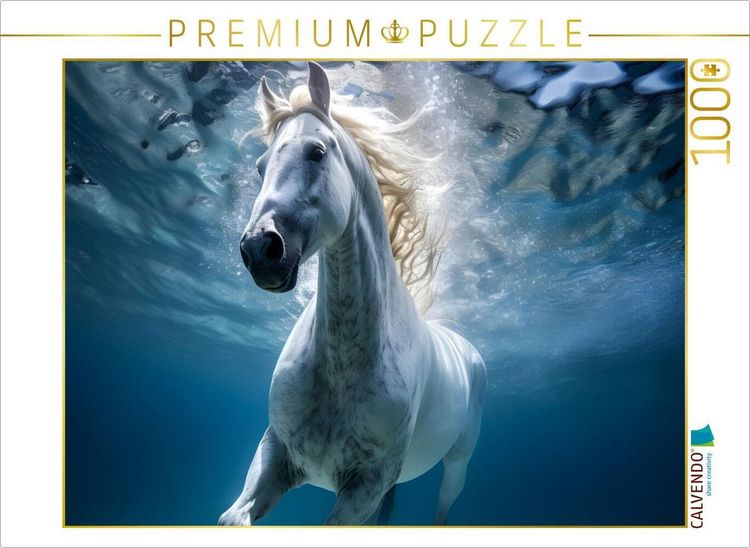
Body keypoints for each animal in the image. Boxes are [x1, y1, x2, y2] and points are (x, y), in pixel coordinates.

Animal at [218, 62, 486, 526]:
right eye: (259, 166)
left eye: (316, 152)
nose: (259, 249)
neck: (341, 370)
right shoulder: (276, 452)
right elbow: (232, 518)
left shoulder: (365, 486)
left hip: (456, 465)